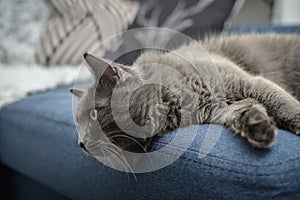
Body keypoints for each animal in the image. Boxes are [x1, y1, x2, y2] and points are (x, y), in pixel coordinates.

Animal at [69, 33, 300, 158]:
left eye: (94, 115)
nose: (80, 144)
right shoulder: (219, 109)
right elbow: (241, 111)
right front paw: (259, 127)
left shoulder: (248, 82)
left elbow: (281, 102)